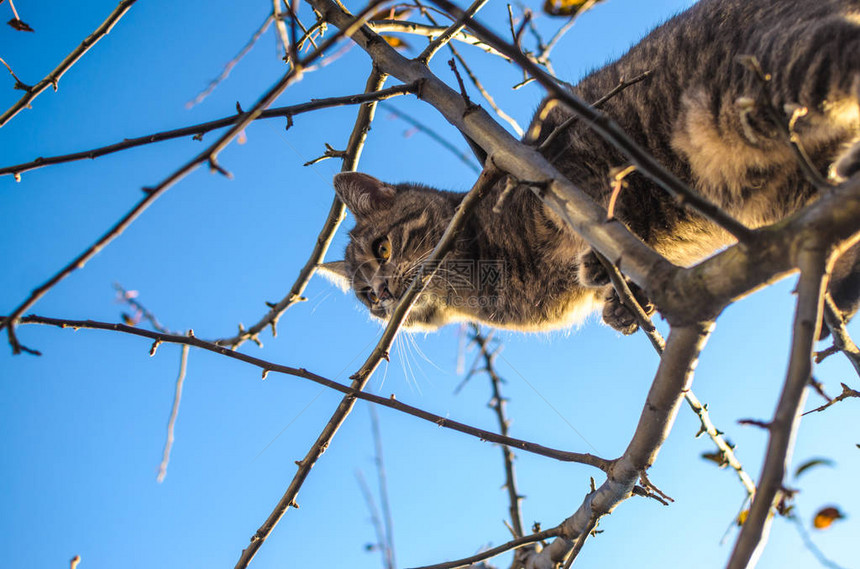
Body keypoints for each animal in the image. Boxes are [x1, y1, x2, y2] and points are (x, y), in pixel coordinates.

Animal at [320, 0, 860, 332]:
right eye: (363, 295)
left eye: (382, 248)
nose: (382, 294)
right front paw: (624, 306)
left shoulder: (579, 155)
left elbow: (613, 204)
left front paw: (604, 264)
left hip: (756, 89)